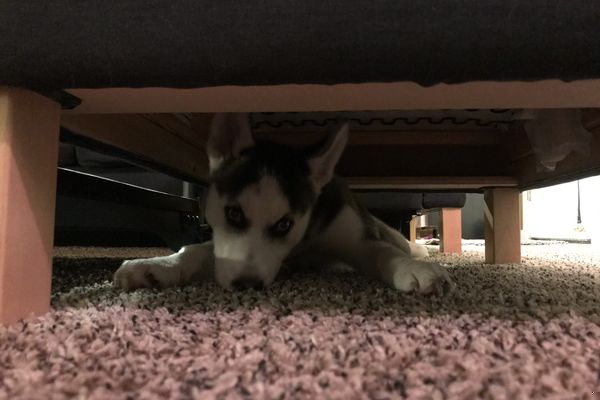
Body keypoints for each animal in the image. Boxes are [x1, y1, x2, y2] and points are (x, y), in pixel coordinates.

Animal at [114, 113, 454, 294]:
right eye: (233, 213)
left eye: (284, 224)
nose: (247, 285)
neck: (304, 242)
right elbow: (196, 250)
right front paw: (158, 266)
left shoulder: (354, 236)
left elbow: (384, 253)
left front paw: (416, 269)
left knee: (395, 239)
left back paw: (420, 251)